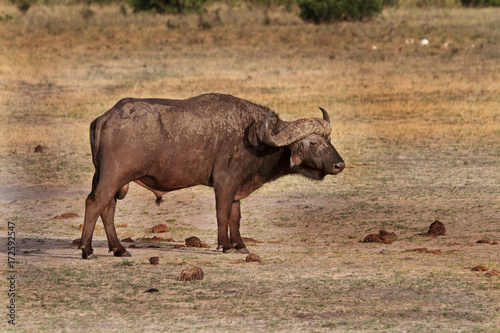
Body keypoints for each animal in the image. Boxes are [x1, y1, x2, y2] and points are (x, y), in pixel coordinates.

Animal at [78, 93, 344, 260]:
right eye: (313, 142)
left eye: (329, 139)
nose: (339, 164)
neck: (255, 138)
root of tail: (107, 116)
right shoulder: (224, 184)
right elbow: (222, 213)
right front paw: (225, 246)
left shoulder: (237, 187)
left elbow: (235, 217)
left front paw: (240, 245)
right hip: (113, 176)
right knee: (94, 203)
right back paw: (87, 250)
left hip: (113, 180)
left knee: (107, 208)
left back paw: (119, 249)